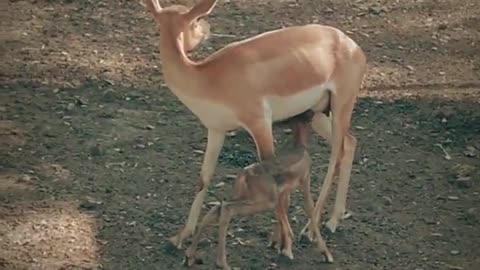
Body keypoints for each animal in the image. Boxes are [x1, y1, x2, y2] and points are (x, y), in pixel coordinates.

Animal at [141, 0, 366, 249]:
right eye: (197, 20)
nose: (208, 29)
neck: (208, 77)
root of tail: (351, 44)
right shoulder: (216, 129)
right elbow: (203, 178)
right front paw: (181, 236)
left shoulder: (260, 123)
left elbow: (274, 171)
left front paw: (281, 240)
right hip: (317, 114)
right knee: (350, 144)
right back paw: (333, 220)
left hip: (341, 106)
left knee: (335, 155)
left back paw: (310, 230)